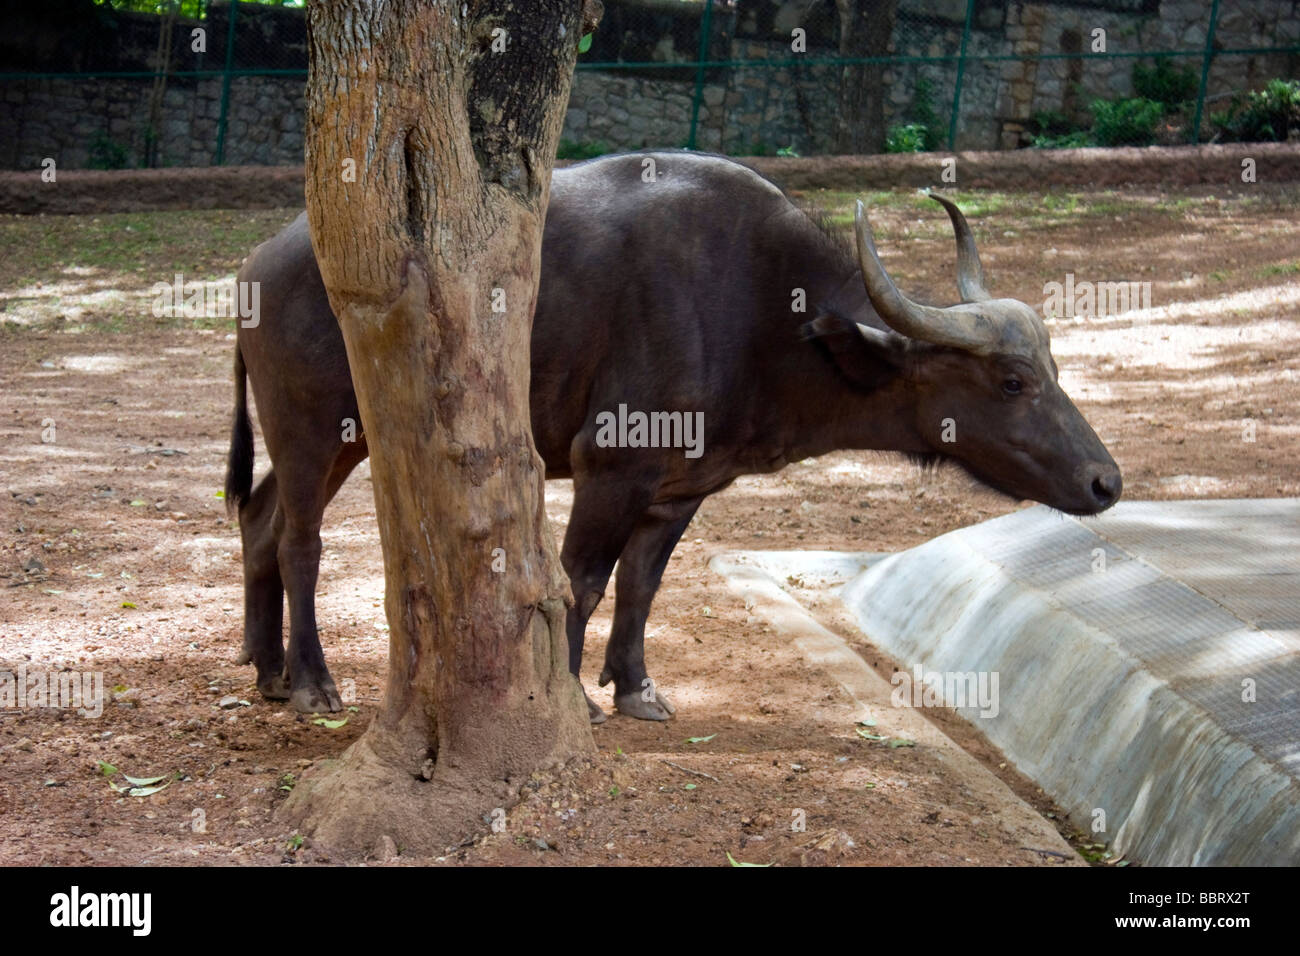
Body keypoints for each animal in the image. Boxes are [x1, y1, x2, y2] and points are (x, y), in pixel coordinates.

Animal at [223, 147, 1118, 717]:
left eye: (1055, 368)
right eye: (1012, 381)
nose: (1105, 482)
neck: (762, 314)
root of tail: (256, 269)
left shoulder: (681, 488)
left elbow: (642, 586)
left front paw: (634, 688)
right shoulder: (609, 469)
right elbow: (579, 581)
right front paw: (573, 698)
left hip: (340, 440)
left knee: (259, 519)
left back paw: (267, 669)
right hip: (312, 431)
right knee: (299, 539)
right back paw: (311, 682)